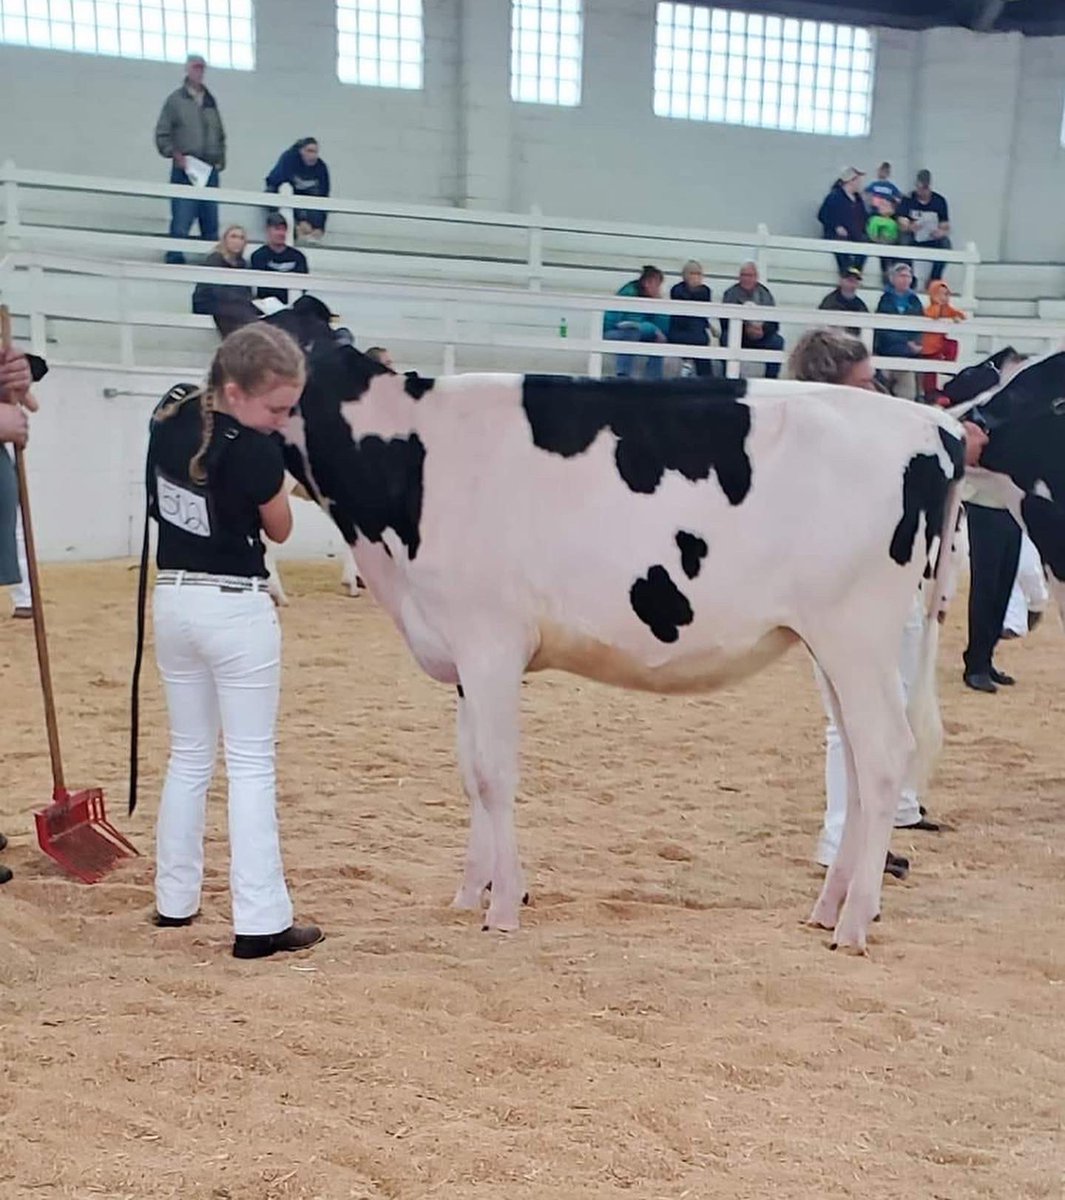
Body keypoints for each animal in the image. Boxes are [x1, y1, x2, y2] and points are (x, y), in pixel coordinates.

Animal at [266, 305, 966, 956]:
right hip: (834, 646)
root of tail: (932, 425)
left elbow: (494, 773)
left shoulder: (491, 642)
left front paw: (504, 907)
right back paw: (829, 906)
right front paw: (471, 892)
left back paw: (853, 923)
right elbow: (469, 771)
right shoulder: (463, 652)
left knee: (884, 754)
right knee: (855, 757)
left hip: (859, 635)